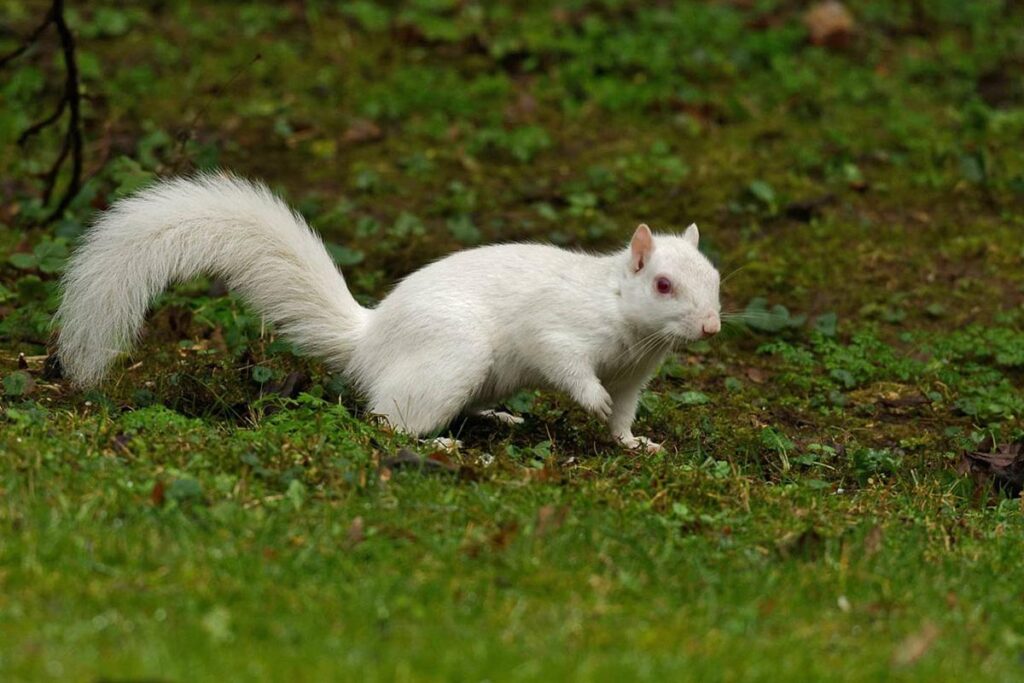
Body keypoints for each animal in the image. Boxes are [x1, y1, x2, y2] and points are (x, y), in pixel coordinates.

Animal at [56, 174, 720, 450]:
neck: (626, 322)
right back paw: (443, 446)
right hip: (453, 356)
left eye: (714, 278)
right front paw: (591, 400)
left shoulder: (637, 372)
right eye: (663, 284)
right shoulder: (558, 325)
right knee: (388, 420)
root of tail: (370, 340)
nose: (711, 326)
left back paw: (498, 418)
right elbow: (562, 360)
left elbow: (625, 413)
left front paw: (635, 443)